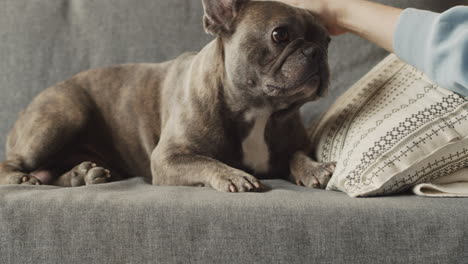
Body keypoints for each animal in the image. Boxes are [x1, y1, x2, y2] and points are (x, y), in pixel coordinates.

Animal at [0, 0, 336, 192]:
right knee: (13, 163)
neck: (259, 110)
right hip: (63, 117)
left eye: (327, 41)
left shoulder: (290, 143)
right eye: (280, 35)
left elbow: (296, 154)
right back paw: (24, 179)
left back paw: (81, 176)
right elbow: (204, 161)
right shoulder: (168, 158)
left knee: (48, 174)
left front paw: (315, 168)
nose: (316, 52)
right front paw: (233, 175)